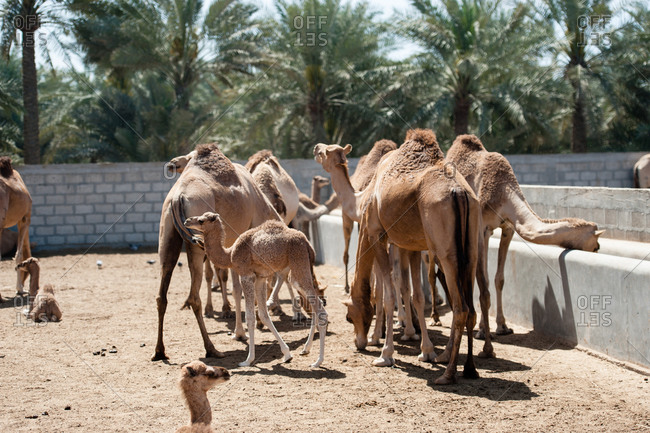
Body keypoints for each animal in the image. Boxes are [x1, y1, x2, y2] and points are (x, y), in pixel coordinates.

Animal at [153, 143, 282, 362]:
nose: (172, 164)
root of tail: (178, 197)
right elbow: (239, 288)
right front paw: (245, 329)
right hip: (196, 240)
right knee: (194, 296)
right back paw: (211, 348)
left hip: (167, 234)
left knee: (162, 294)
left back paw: (159, 351)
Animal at [185, 213, 328, 368]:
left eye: (201, 220)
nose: (187, 221)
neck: (230, 255)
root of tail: (308, 245)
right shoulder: (260, 278)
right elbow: (263, 315)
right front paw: (287, 354)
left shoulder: (246, 275)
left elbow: (250, 317)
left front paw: (248, 360)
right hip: (299, 269)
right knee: (316, 304)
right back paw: (306, 349)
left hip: (298, 265)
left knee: (320, 310)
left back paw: (318, 362)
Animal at [315, 129, 487, 384]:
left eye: (348, 317)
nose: (358, 343)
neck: (362, 197)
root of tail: (459, 193)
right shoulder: (411, 244)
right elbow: (414, 294)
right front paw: (425, 350)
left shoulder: (377, 235)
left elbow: (386, 294)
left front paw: (385, 352)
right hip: (470, 247)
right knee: (471, 309)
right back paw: (468, 368)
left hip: (447, 251)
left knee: (461, 308)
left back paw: (447, 374)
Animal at [446, 135, 604, 337]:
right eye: (595, 242)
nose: (598, 249)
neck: (504, 191)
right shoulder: (483, 229)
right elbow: (484, 279)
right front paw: (482, 330)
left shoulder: (508, 227)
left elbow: (499, 278)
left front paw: (502, 326)